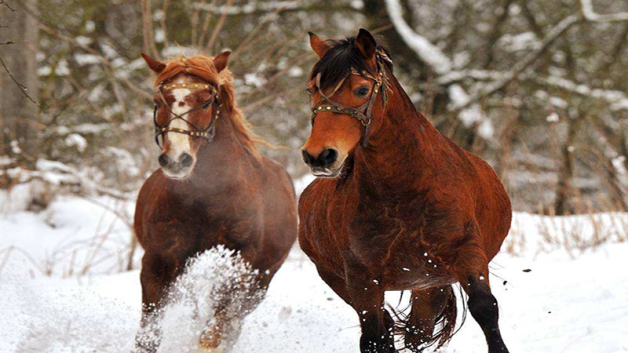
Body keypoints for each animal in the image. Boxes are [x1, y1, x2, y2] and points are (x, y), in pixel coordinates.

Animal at [133, 52, 300, 352]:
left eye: (206, 101)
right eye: (158, 101)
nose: (176, 160)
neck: (207, 199)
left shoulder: (241, 262)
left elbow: (214, 333)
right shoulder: (159, 259)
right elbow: (148, 336)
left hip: (260, 282)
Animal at [298, 28, 510, 350]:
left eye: (361, 90)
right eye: (312, 90)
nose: (318, 156)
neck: (403, 194)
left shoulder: (467, 252)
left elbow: (485, 307)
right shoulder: (361, 278)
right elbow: (374, 335)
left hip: (431, 284)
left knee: (417, 330)